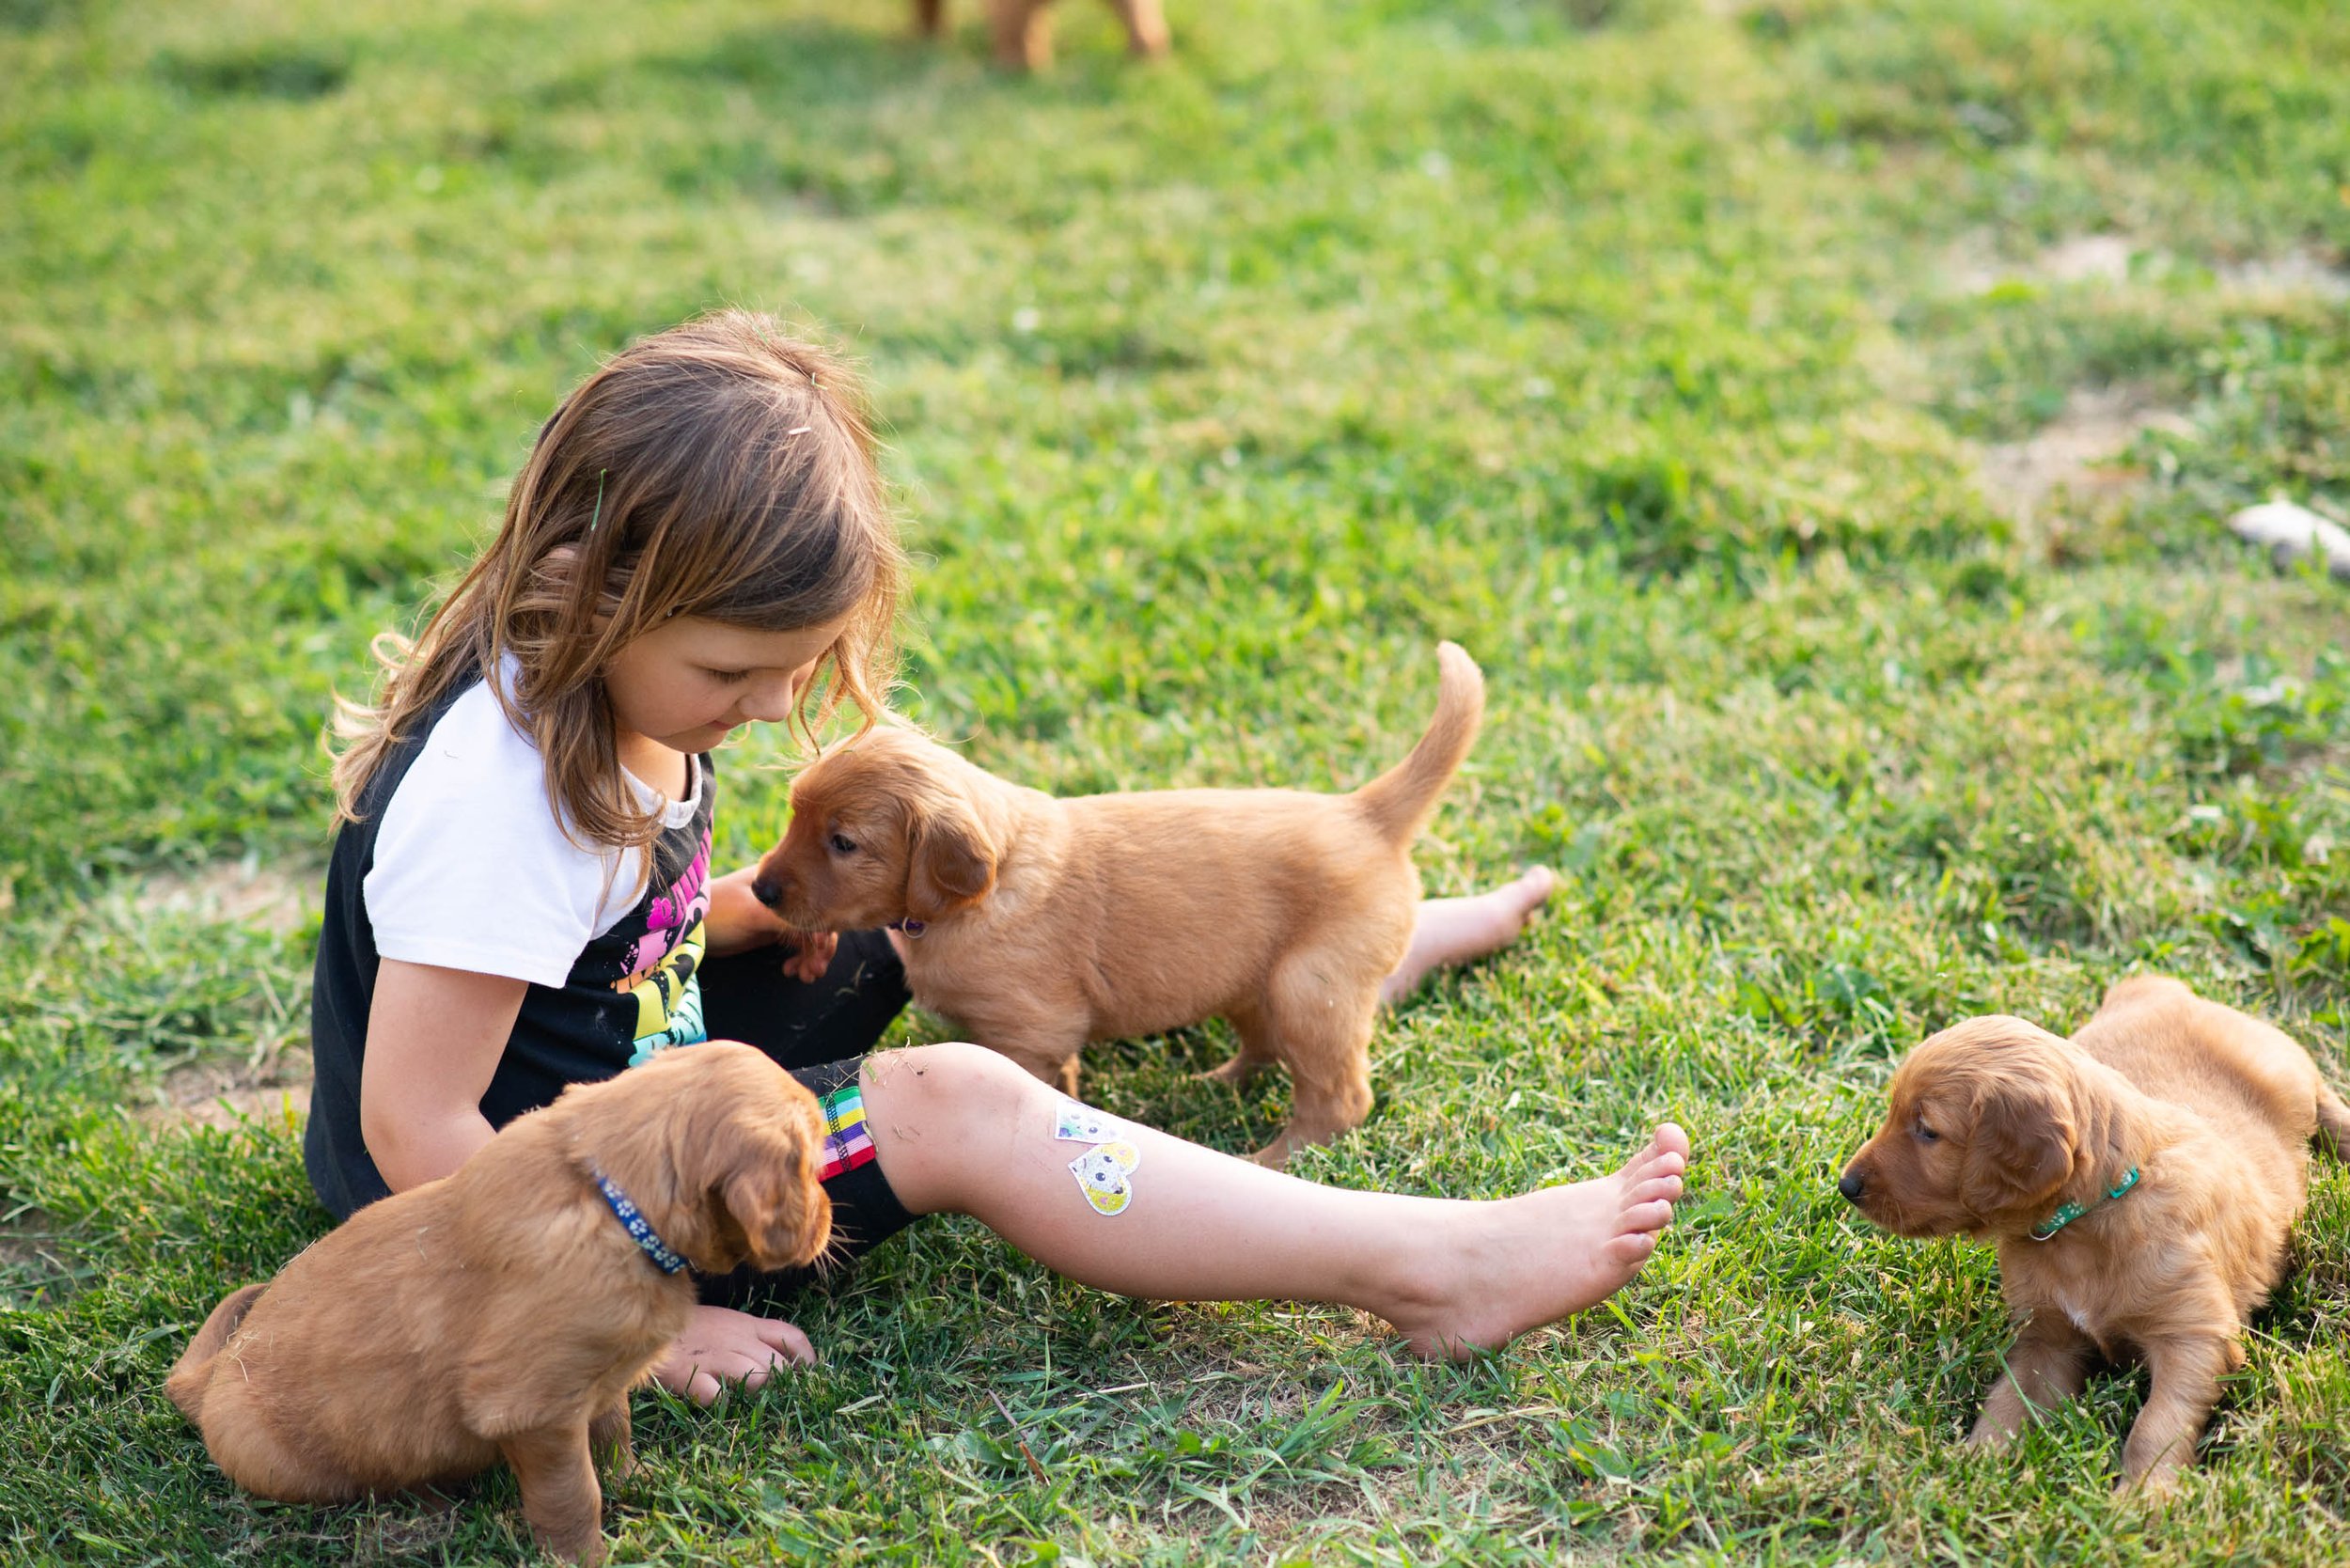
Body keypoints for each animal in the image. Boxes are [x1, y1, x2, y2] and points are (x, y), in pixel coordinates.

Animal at [164, 1043, 832, 1565]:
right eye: (810, 1160)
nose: (828, 1217)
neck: (609, 1198)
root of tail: (213, 1376)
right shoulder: (533, 1410)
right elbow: (572, 1494)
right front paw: (585, 1556)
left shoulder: (596, 1380)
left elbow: (613, 1430)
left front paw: (638, 1483)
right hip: (286, 1462)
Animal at [752, 642, 1485, 1165]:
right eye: (793, 815)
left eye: (843, 843)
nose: (759, 890)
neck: (986, 889)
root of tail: (1365, 813)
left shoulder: (1032, 1033)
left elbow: (1044, 1086)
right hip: (1256, 980)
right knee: (1264, 1046)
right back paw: (1215, 1082)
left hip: (1312, 989)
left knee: (1340, 1100)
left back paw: (1276, 1157)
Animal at [1838, 976, 2349, 1491]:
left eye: (1927, 1131)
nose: (1846, 1187)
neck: (2090, 1217)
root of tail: (2160, 987)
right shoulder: (2048, 1337)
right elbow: (2010, 1399)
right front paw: (1980, 1463)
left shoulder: (2195, 1336)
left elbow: (2159, 1422)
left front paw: (2145, 1494)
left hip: (2286, 1073)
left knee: (2325, 1103)